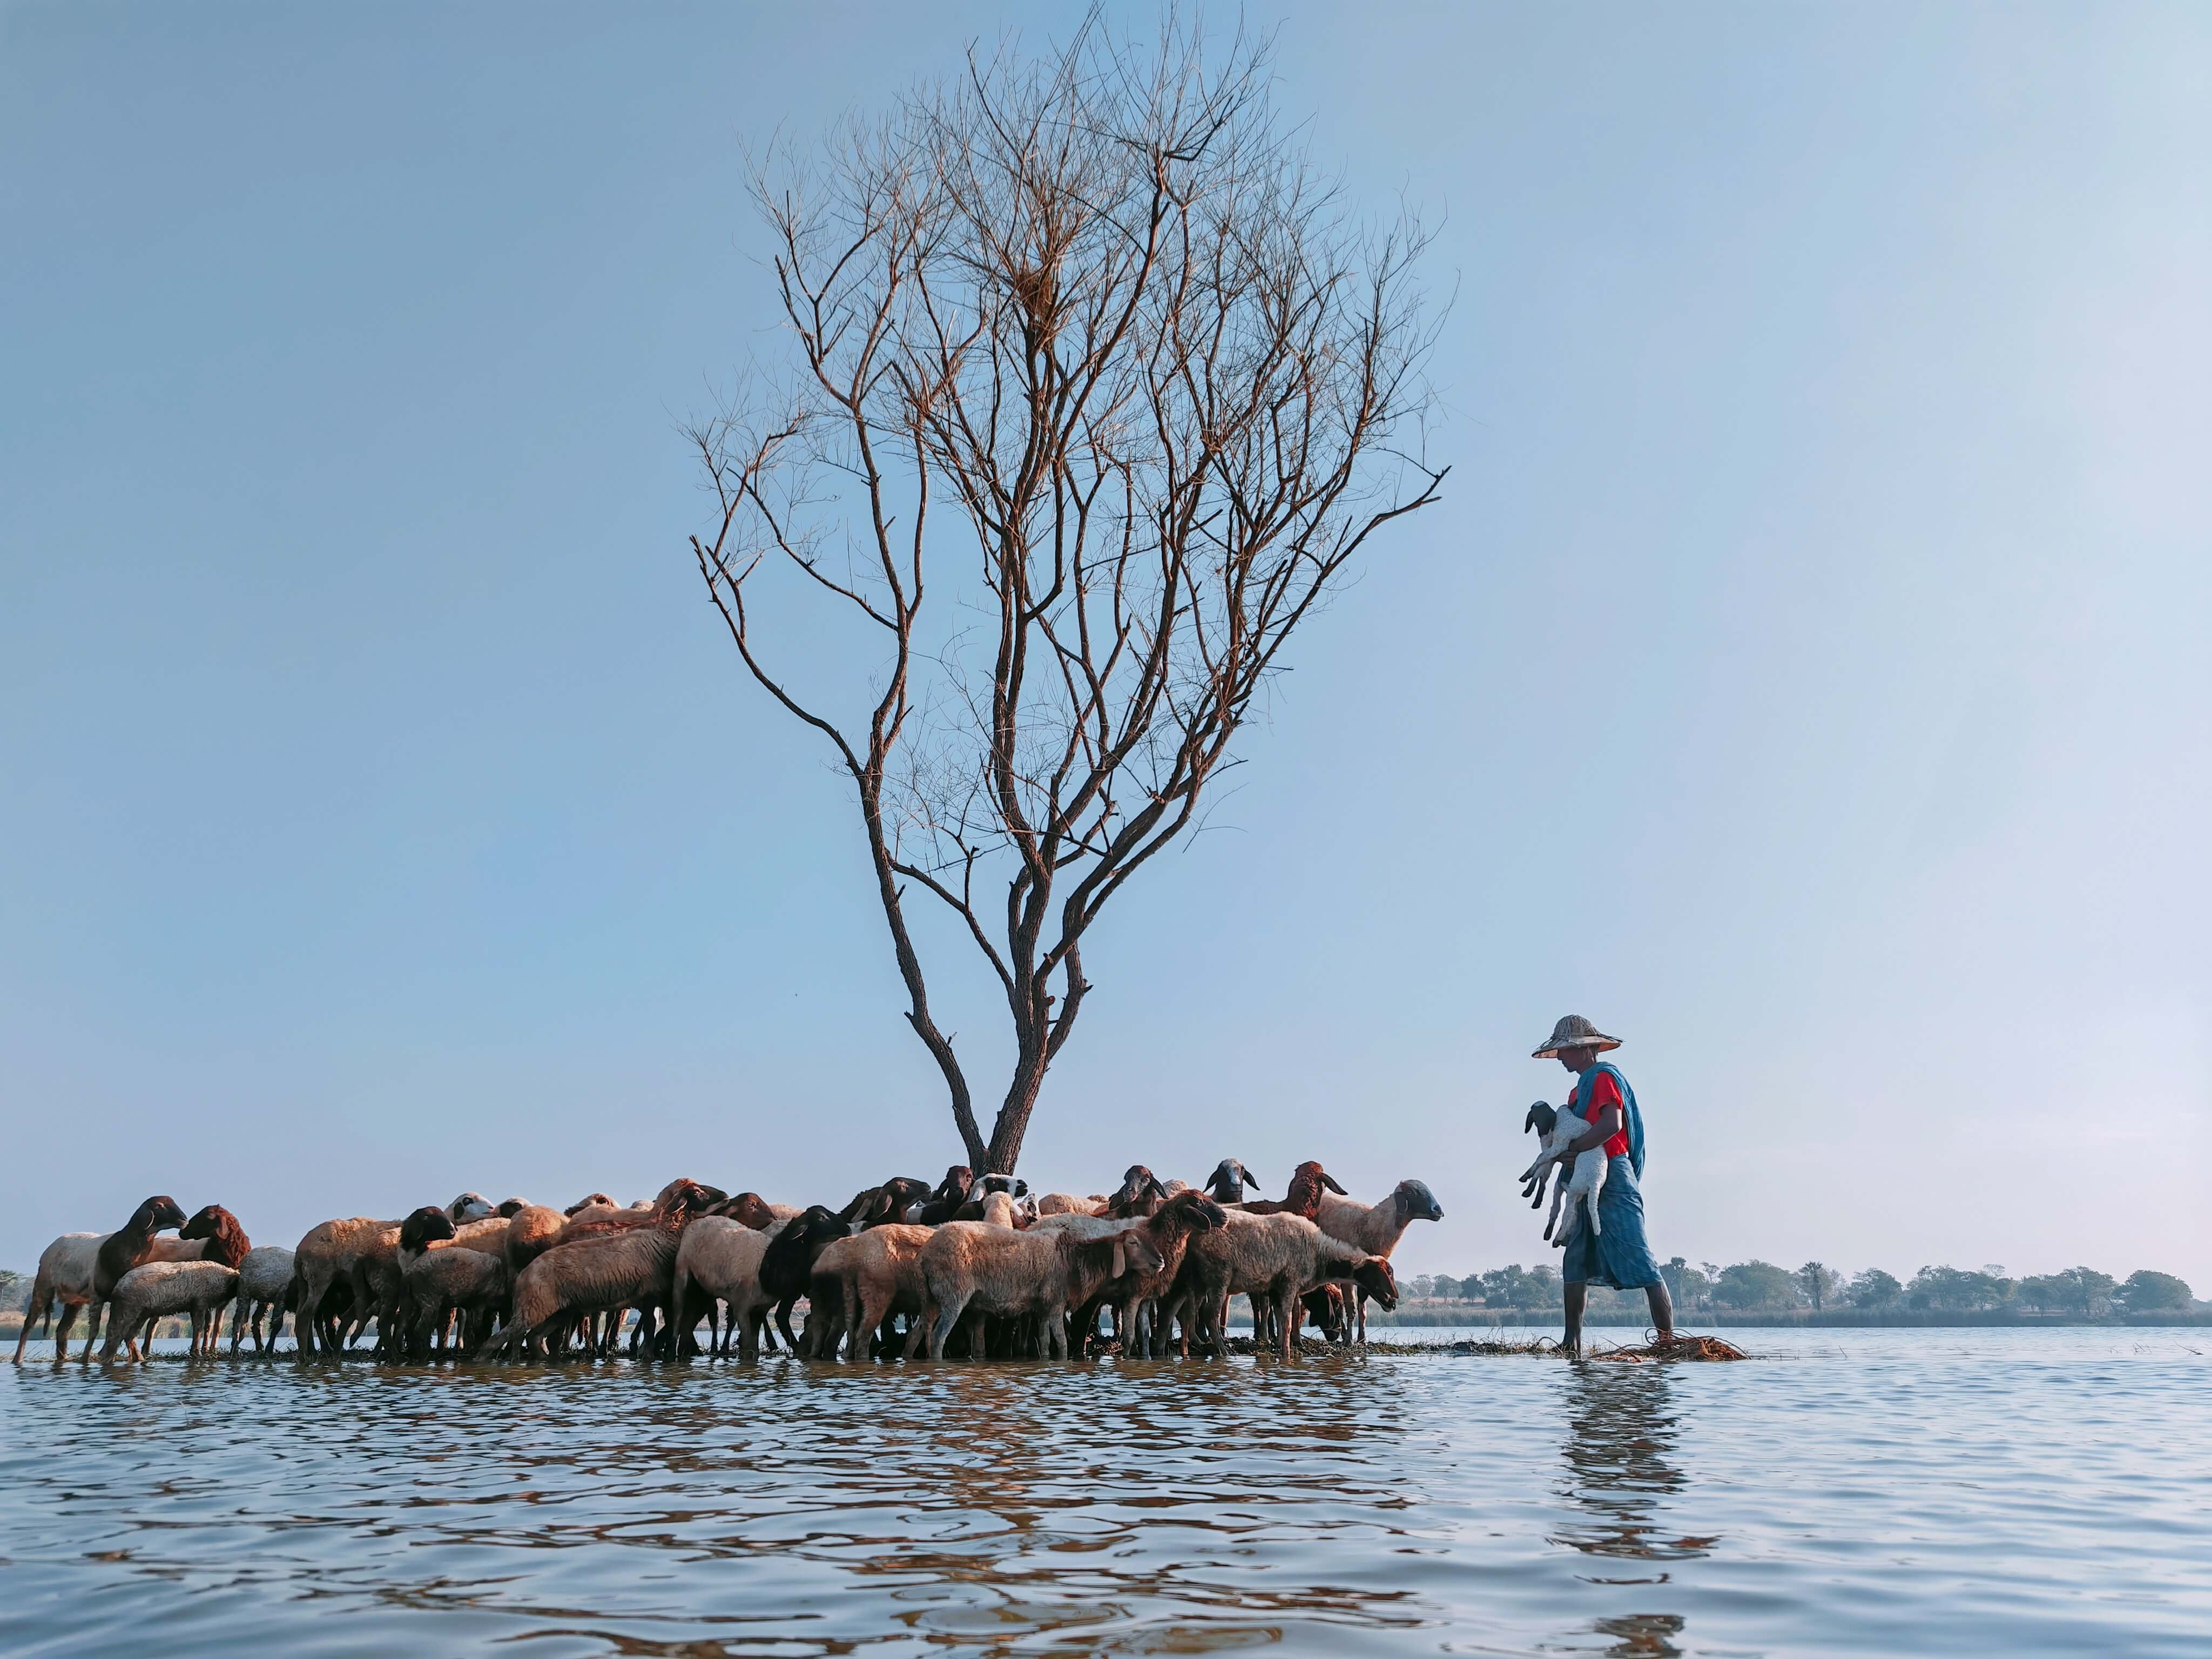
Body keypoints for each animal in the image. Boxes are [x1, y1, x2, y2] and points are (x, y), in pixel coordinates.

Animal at [909, 1222, 1163, 1360]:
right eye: (1133, 1243)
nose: (1160, 1261)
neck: (1075, 1260)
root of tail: (924, 1255)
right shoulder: (1056, 1303)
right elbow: (1061, 1342)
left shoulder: (1042, 1307)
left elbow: (1044, 1342)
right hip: (953, 1293)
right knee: (938, 1337)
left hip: (931, 1298)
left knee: (916, 1334)